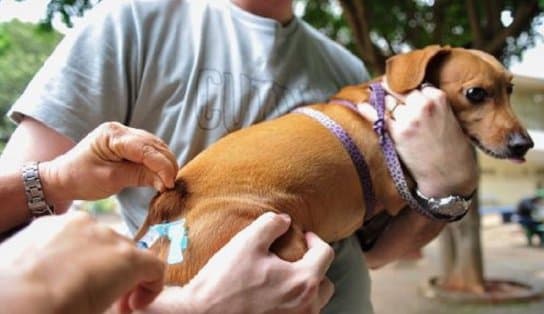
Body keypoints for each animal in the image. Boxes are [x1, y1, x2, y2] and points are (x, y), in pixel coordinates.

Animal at [134, 46, 532, 284]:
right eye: (476, 93)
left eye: (511, 89)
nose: (525, 144)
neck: (383, 106)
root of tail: (170, 204)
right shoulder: (397, 194)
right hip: (282, 240)